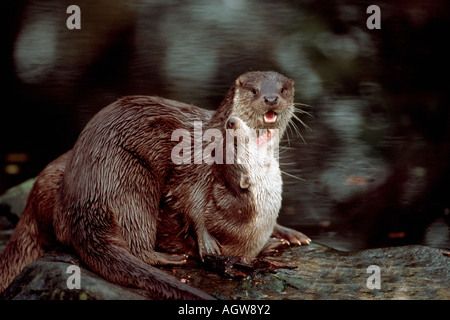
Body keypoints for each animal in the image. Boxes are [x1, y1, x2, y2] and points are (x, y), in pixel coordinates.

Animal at [0, 71, 310, 298]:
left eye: (283, 90)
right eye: (255, 91)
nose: (271, 99)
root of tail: (83, 199)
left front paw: (285, 234)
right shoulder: (197, 164)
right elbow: (190, 199)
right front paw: (209, 244)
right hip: (129, 181)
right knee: (135, 234)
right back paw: (166, 258)